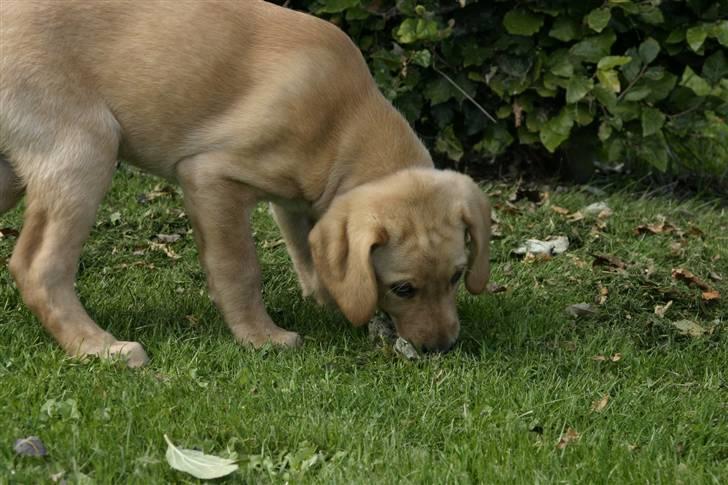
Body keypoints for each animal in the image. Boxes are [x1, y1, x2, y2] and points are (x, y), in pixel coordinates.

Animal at [0, 0, 492, 364]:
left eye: (457, 276)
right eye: (402, 288)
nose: (442, 347)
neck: (345, 120)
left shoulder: (298, 198)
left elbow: (308, 249)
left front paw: (327, 295)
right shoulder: (211, 176)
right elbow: (239, 267)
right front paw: (260, 336)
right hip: (86, 147)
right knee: (37, 265)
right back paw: (99, 348)